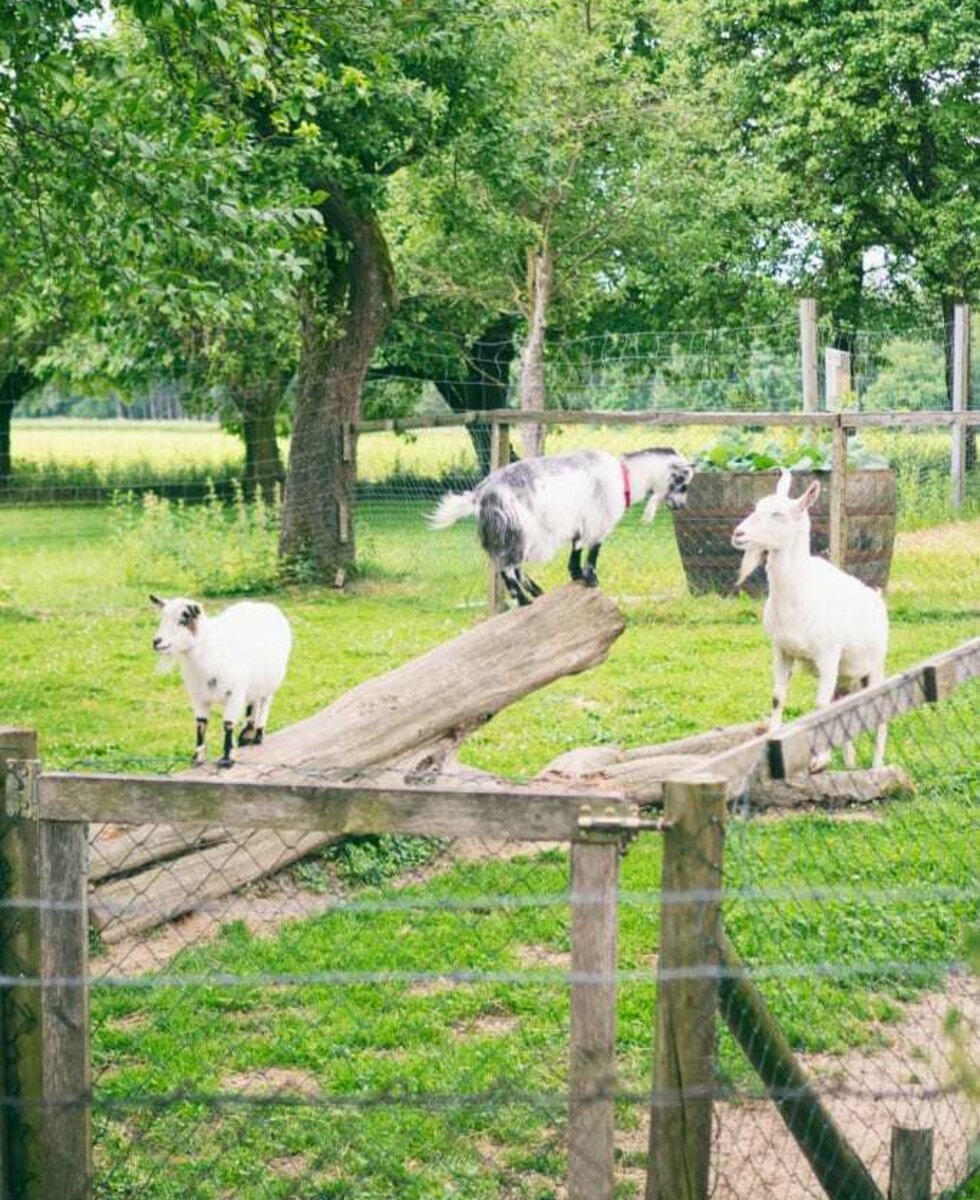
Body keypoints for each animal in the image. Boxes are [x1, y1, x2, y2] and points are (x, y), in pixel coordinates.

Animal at [149, 592, 290, 768]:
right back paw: (246, 735)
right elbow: (201, 724)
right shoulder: (199, 697)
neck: (209, 650)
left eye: (182, 620)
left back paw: (258, 735)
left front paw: (227, 759)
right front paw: (198, 758)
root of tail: (265, 606)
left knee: (264, 703)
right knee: (253, 703)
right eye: (162, 618)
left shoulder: (234, 694)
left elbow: (228, 724)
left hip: (270, 683)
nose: (157, 642)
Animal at [429, 446, 695, 604]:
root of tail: (481, 493)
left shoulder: (580, 522)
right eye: (683, 485)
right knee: (508, 568)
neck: (625, 475)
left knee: (508, 566)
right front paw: (591, 578)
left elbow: (576, 548)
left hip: (504, 536)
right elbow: (594, 550)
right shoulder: (599, 519)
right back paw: (525, 600)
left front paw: (576, 574)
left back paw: (536, 591)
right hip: (518, 531)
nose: (681, 506)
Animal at [734, 468, 887, 768]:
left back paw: (876, 766)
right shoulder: (781, 650)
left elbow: (820, 706)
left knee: (880, 715)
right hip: (845, 678)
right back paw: (850, 765)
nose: (738, 534)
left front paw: (819, 759)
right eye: (757, 506)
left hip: (874, 667)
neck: (799, 592)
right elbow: (777, 697)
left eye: (778, 514)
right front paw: (773, 735)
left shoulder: (828, 653)